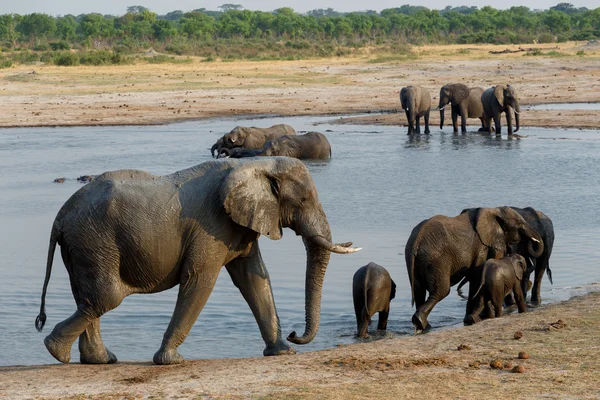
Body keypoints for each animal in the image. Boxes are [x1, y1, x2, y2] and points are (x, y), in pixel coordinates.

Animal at [34, 156, 360, 366]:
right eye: (304, 200)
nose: (294, 335)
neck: (255, 164)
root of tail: (60, 216)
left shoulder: (238, 226)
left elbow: (254, 278)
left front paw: (282, 354)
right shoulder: (211, 226)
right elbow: (200, 280)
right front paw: (171, 361)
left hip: (83, 246)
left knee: (89, 299)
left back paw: (97, 360)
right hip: (93, 241)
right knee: (105, 297)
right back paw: (56, 352)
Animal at [404, 206, 544, 332]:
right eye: (520, 224)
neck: (494, 210)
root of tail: (416, 241)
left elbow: (474, 278)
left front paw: (476, 318)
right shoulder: (481, 248)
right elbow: (476, 277)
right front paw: (481, 317)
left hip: (416, 261)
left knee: (418, 291)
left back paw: (422, 325)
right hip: (436, 260)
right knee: (441, 291)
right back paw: (424, 325)